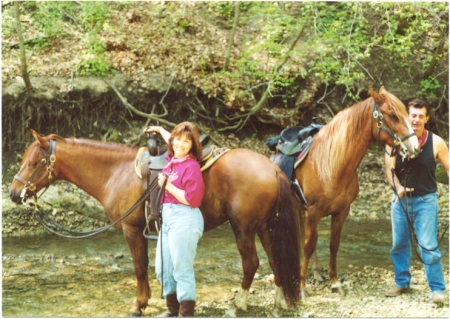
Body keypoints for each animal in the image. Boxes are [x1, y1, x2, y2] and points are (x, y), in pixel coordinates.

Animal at [8, 131, 300, 318]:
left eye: (33, 162)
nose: (13, 193)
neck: (117, 172)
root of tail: (271, 168)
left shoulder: (132, 231)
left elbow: (139, 267)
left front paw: (139, 305)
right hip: (265, 227)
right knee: (275, 259)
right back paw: (280, 302)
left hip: (243, 228)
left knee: (251, 263)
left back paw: (238, 304)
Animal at [296, 87, 422, 298]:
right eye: (392, 115)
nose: (415, 148)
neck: (332, 164)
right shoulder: (314, 211)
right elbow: (308, 245)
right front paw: (302, 288)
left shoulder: (341, 211)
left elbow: (333, 245)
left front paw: (334, 282)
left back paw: (316, 274)